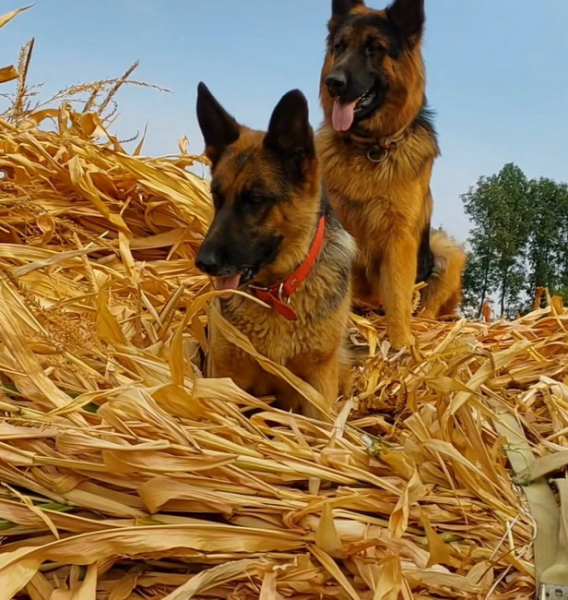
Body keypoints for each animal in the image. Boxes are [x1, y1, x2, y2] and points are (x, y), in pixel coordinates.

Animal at [195, 84, 356, 420]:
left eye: (255, 199)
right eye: (217, 196)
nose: (204, 263)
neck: (277, 292)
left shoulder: (318, 384)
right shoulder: (225, 376)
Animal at [318, 0, 464, 350]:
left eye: (373, 48)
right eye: (340, 47)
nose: (333, 82)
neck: (370, 147)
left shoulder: (400, 239)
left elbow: (397, 296)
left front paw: (402, 343)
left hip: (445, 251)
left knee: (426, 307)